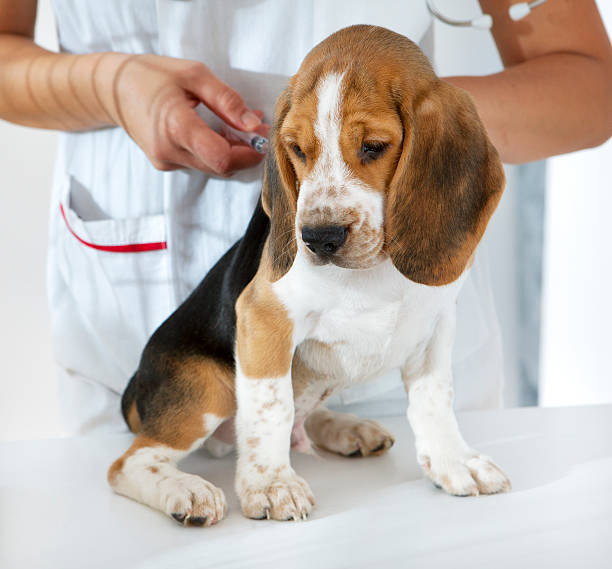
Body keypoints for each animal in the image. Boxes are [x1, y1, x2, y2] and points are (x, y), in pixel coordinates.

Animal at [109, 25, 506, 524]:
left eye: (374, 146)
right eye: (296, 149)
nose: (319, 238)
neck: (372, 270)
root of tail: (135, 389)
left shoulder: (435, 321)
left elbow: (435, 398)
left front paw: (454, 460)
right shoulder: (264, 317)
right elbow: (271, 408)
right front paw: (272, 484)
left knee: (308, 411)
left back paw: (343, 427)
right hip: (205, 389)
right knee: (130, 462)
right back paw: (186, 489)